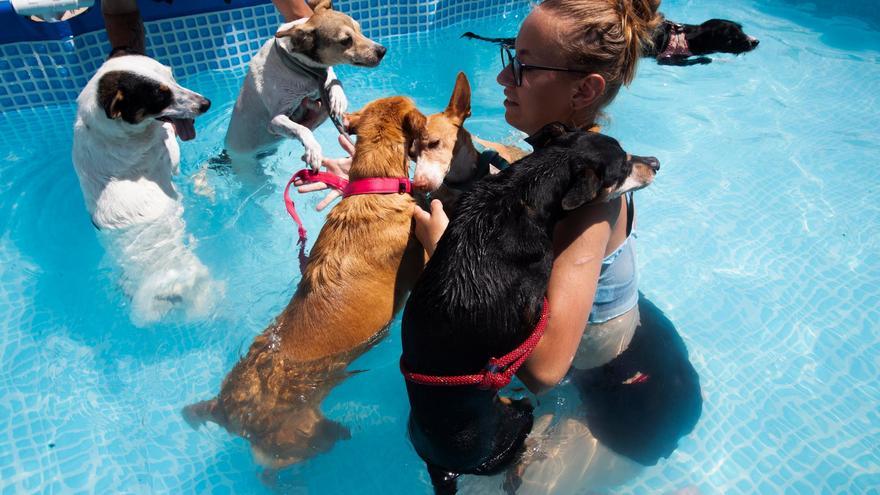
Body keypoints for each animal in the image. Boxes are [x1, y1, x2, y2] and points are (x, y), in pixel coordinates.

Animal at [72, 54, 223, 328]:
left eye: (172, 76)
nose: (206, 104)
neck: (104, 131)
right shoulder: (167, 155)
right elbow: (169, 142)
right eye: (160, 96)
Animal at [222, 0, 384, 174]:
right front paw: (313, 150)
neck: (300, 67)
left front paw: (339, 99)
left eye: (359, 29)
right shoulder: (275, 121)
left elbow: (335, 81)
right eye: (346, 40)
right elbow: (301, 129)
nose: (382, 50)